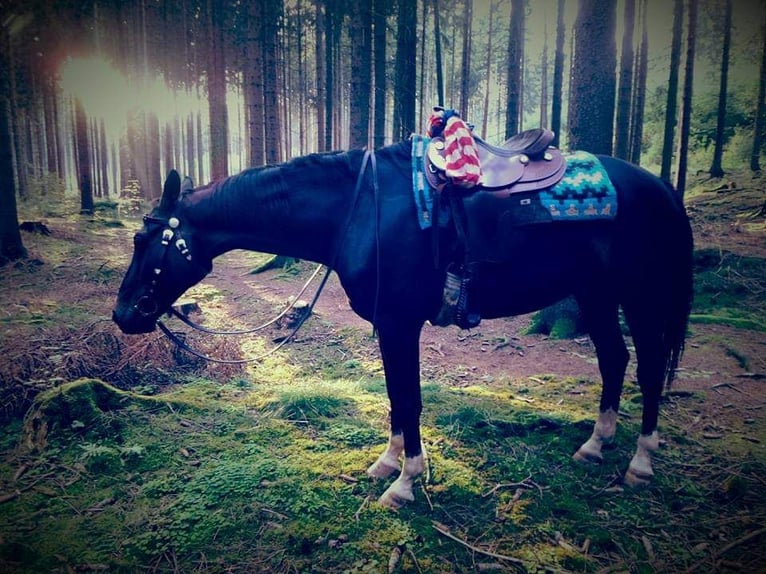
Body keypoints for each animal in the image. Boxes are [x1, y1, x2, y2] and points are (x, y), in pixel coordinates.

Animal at [112, 140, 696, 508]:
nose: (123, 315)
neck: (359, 209)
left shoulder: (400, 323)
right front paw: (387, 464)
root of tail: (662, 188)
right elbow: (396, 396)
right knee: (614, 360)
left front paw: (405, 485)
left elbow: (410, 399)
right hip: (596, 295)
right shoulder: (388, 327)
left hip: (640, 297)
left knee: (647, 371)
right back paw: (596, 445)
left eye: (144, 241)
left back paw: (640, 462)